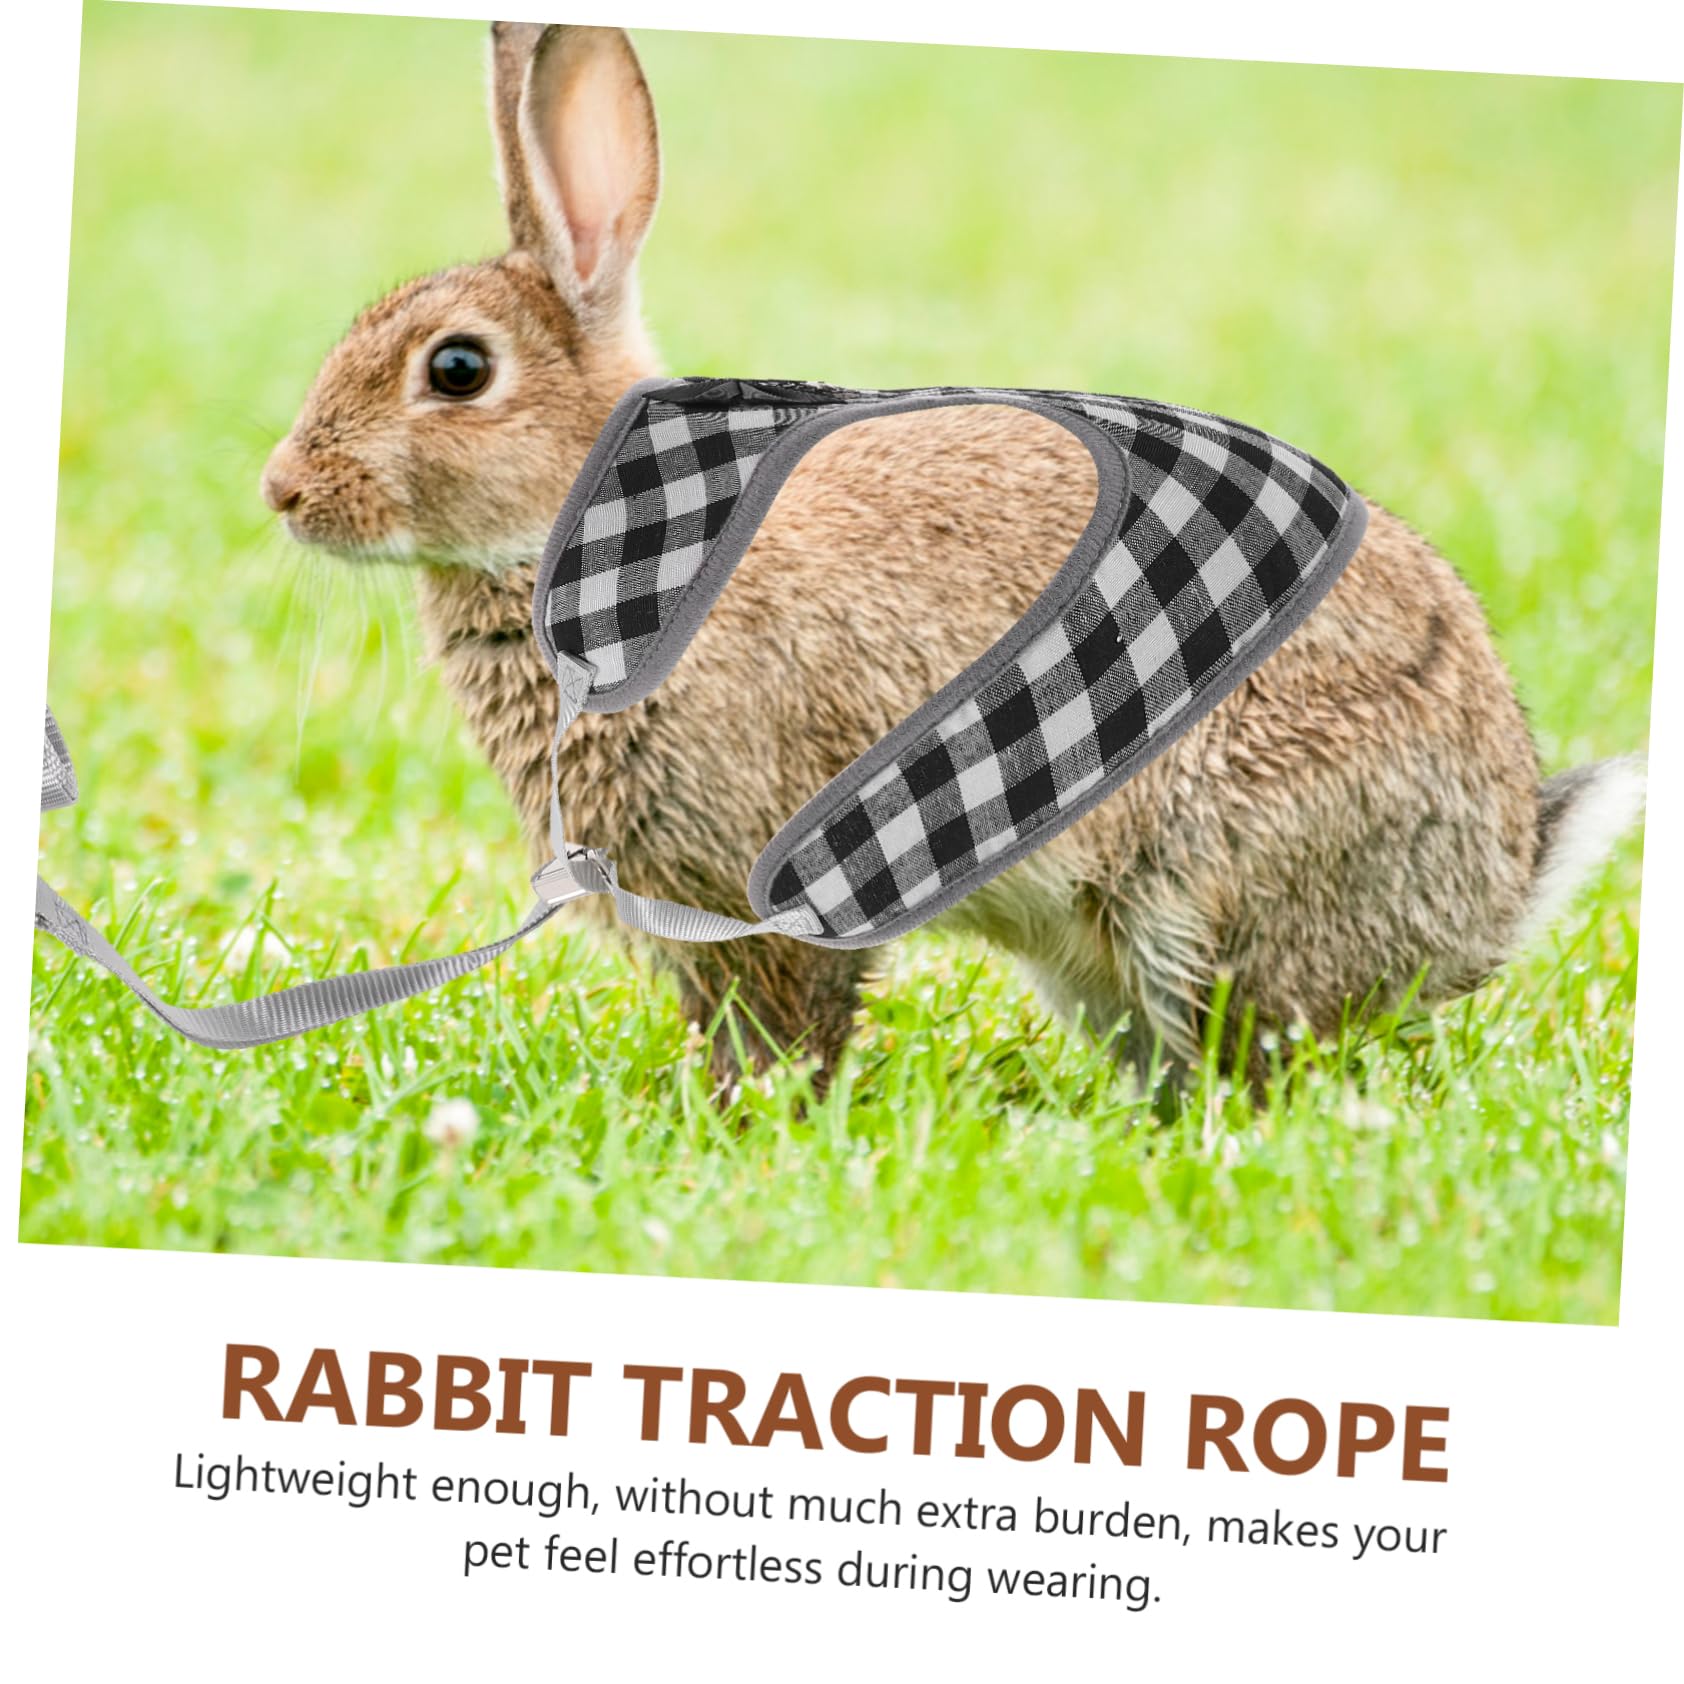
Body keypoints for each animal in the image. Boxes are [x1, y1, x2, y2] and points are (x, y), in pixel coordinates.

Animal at [260, 21, 1643, 1090]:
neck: (609, 525)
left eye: (456, 369)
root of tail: (1497, 882)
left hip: (1205, 893)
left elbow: (788, 1028)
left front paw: (752, 1125)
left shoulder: (764, 884)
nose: (282, 491)